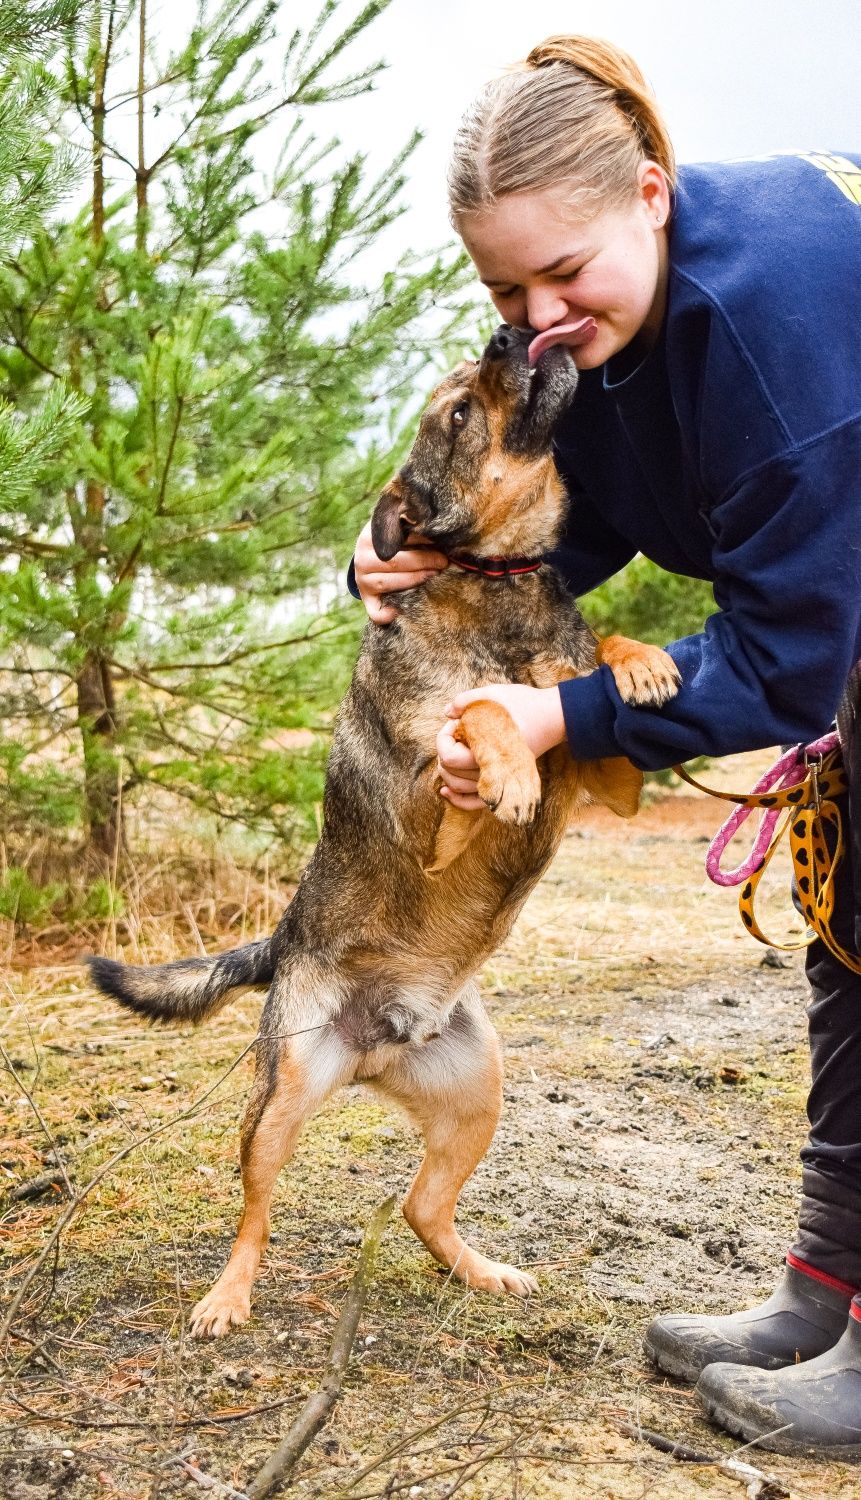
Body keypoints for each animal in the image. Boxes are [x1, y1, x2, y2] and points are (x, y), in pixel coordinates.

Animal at [87, 325, 681, 1338]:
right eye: (459, 410)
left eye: (470, 387)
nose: (507, 332)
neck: (495, 583)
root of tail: (373, 1045)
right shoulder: (424, 804)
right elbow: (481, 711)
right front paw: (511, 761)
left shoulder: (610, 777)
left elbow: (584, 666)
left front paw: (637, 660)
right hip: (281, 1098)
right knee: (254, 1212)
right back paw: (226, 1297)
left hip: (477, 1093)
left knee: (418, 1206)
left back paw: (479, 1270)